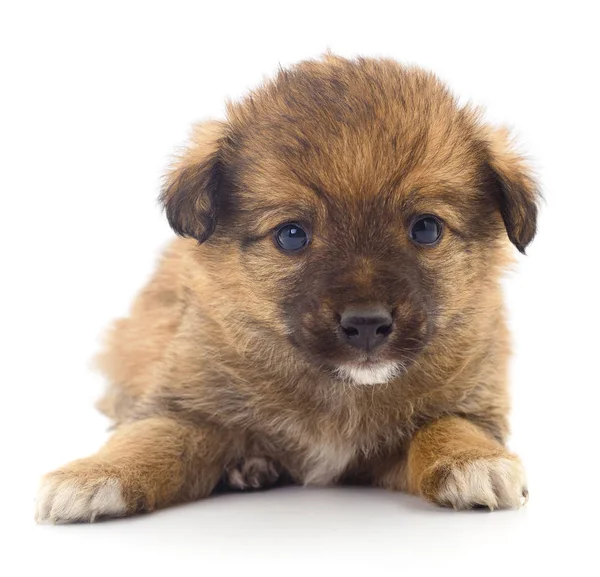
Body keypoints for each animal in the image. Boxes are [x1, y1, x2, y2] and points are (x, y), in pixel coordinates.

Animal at [35, 55, 540, 520]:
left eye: (427, 229)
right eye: (292, 235)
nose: (367, 325)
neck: (341, 390)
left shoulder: (469, 403)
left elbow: (447, 425)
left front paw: (474, 460)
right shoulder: (184, 406)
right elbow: (150, 437)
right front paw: (94, 475)